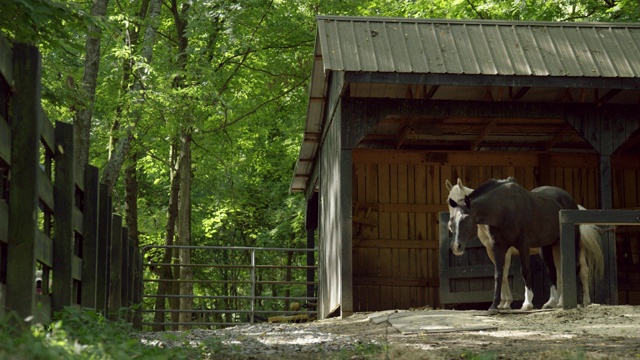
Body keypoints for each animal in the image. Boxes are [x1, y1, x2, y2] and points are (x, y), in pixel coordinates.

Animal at [448, 177, 604, 310]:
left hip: (574, 244)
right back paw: (554, 302)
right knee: (556, 271)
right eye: (452, 219)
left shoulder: (521, 246)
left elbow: (523, 271)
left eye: (466, 218)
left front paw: (525, 303)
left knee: (581, 270)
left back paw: (583, 301)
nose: (456, 247)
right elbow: (499, 274)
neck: (504, 208)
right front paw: (495, 305)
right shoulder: (496, 247)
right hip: (549, 246)